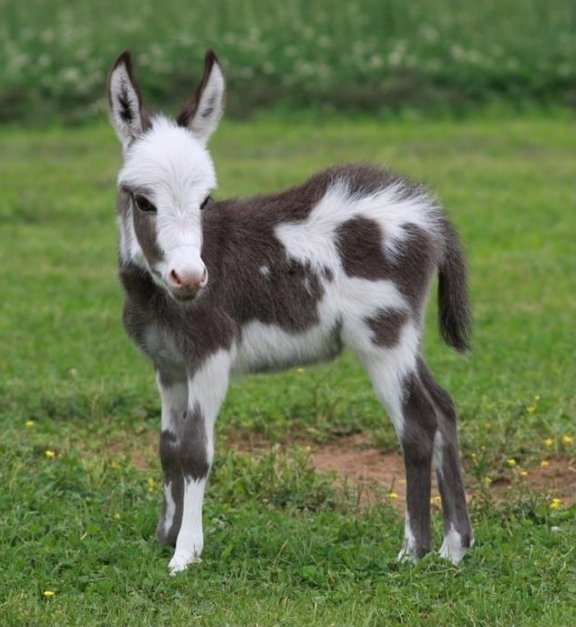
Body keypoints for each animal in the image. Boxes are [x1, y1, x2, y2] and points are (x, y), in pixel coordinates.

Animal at [107, 51, 472, 576]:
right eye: (143, 201)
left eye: (205, 201)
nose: (191, 278)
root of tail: (427, 212)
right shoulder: (169, 366)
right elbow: (168, 448)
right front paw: (166, 536)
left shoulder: (211, 357)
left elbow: (196, 453)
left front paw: (185, 554)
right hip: (404, 335)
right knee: (443, 409)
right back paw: (455, 546)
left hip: (381, 338)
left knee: (418, 423)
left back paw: (412, 551)